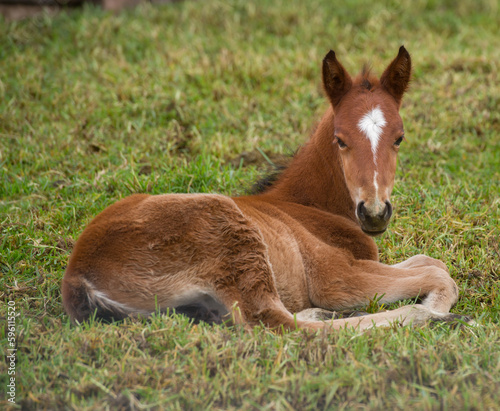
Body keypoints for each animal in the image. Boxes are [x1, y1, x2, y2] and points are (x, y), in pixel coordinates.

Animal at [63, 47, 464, 332]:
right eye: (340, 139)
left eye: (399, 138)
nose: (375, 212)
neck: (309, 207)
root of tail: (78, 275)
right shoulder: (336, 275)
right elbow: (441, 276)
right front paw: (433, 307)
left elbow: (432, 262)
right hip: (230, 234)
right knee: (275, 323)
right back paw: (418, 317)